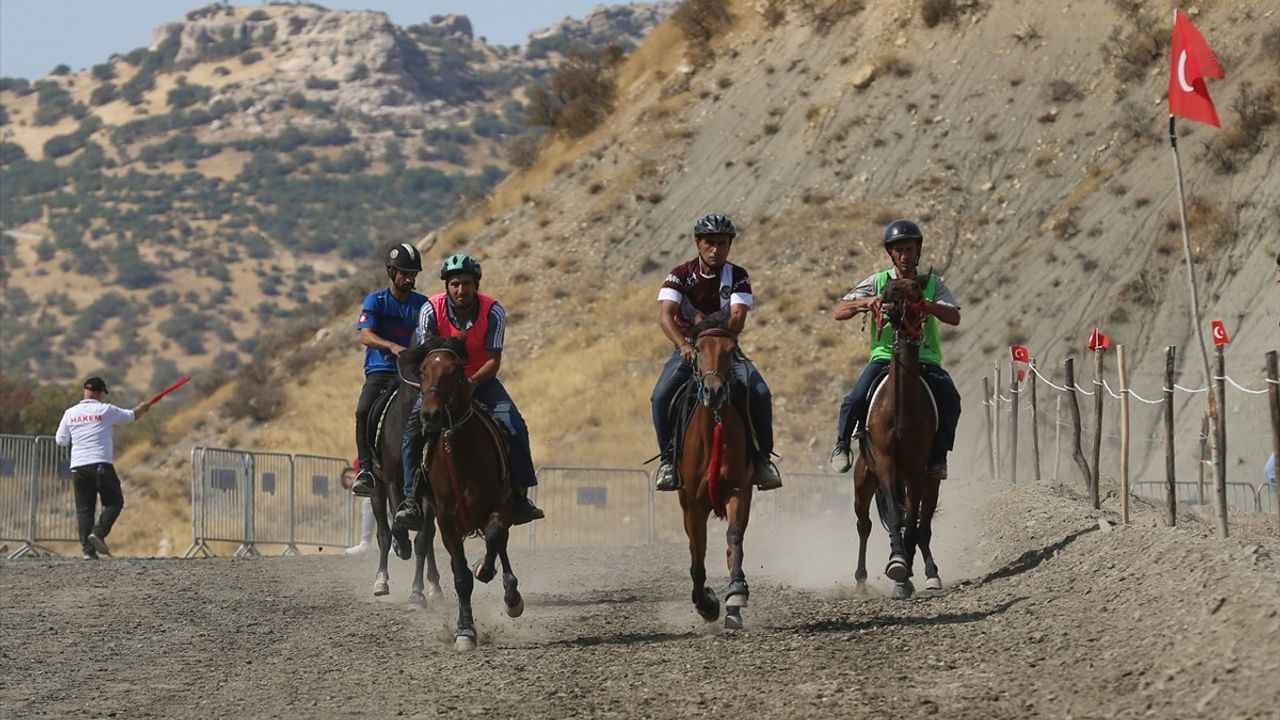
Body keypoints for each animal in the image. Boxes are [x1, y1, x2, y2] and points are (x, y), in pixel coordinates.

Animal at [368, 361, 442, 602]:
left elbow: (424, 538)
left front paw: (418, 593)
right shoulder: (392, 482)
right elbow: (395, 528)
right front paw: (401, 546)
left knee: (428, 536)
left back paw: (434, 586)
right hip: (377, 489)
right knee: (383, 532)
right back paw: (381, 581)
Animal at [412, 335, 527, 650]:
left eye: (455, 370)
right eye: (422, 370)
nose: (431, 415)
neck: (457, 448)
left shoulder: (500, 505)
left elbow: (495, 536)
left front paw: (494, 579)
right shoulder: (445, 518)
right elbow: (461, 576)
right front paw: (465, 630)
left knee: (499, 542)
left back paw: (506, 589)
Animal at [849, 271, 942, 597]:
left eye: (915, 287)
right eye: (888, 287)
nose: (888, 298)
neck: (900, 408)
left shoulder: (916, 470)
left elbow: (912, 522)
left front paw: (906, 569)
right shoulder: (886, 463)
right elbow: (893, 514)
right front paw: (898, 561)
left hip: (931, 481)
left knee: (923, 526)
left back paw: (929, 573)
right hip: (863, 478)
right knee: (864, 524)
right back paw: (861, 579)